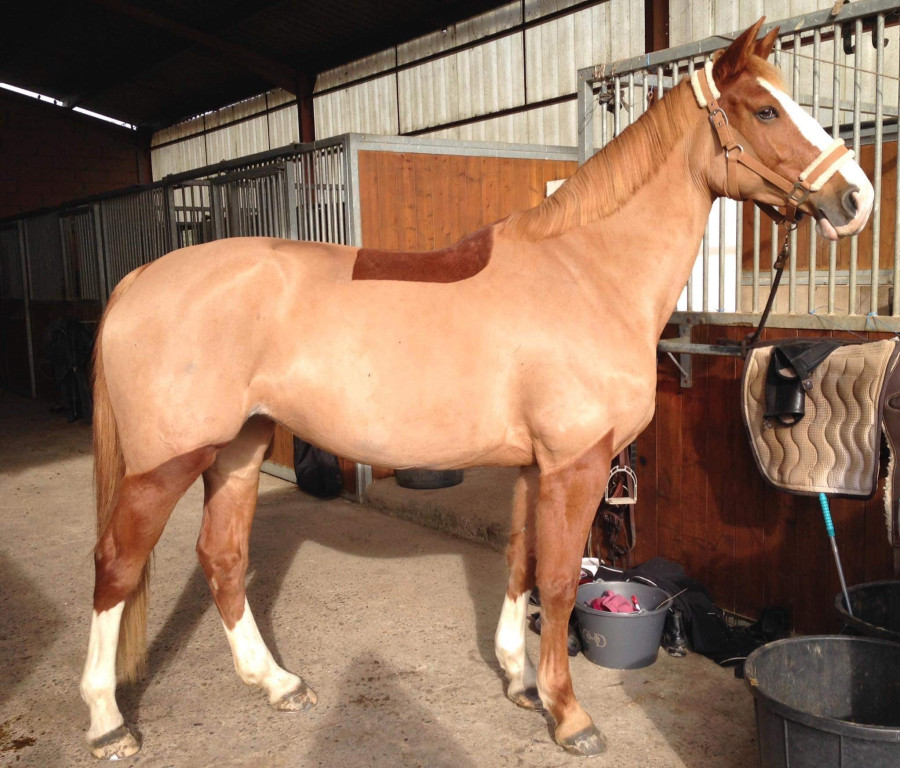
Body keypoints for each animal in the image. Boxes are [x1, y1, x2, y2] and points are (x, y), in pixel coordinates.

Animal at [80, 19, 873, 759]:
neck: (587, 274)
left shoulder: (534, 467)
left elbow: (520, 562)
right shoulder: (575, 466)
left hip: (237, 451)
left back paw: (275, 682)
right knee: (116, 567)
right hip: (166, 465)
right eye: (765, 111)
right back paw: (107, 722)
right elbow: (559, 582)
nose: (856, 199)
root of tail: (138, 279)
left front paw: (520, 683)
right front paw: (569, 714)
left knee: (222, 559)